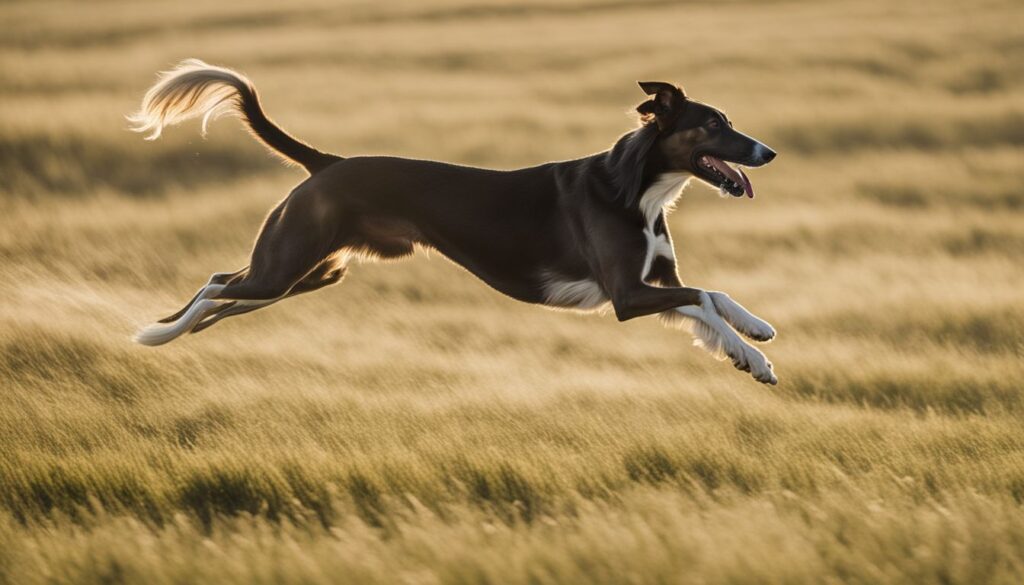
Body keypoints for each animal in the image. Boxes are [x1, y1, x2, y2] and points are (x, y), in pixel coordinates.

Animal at [132, 59, 778, 385]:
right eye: (714, 124)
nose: (768, 152)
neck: (634, 188)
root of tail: (328, 162)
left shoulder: (655, 282)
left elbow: (711, 296)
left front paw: (754, 337)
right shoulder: (625, 294)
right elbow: (703, 298)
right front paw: (754, 355)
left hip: (311, 273)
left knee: (226, 290)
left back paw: (186, 330)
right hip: (287, 265)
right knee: (213, 284)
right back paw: (157, 334)